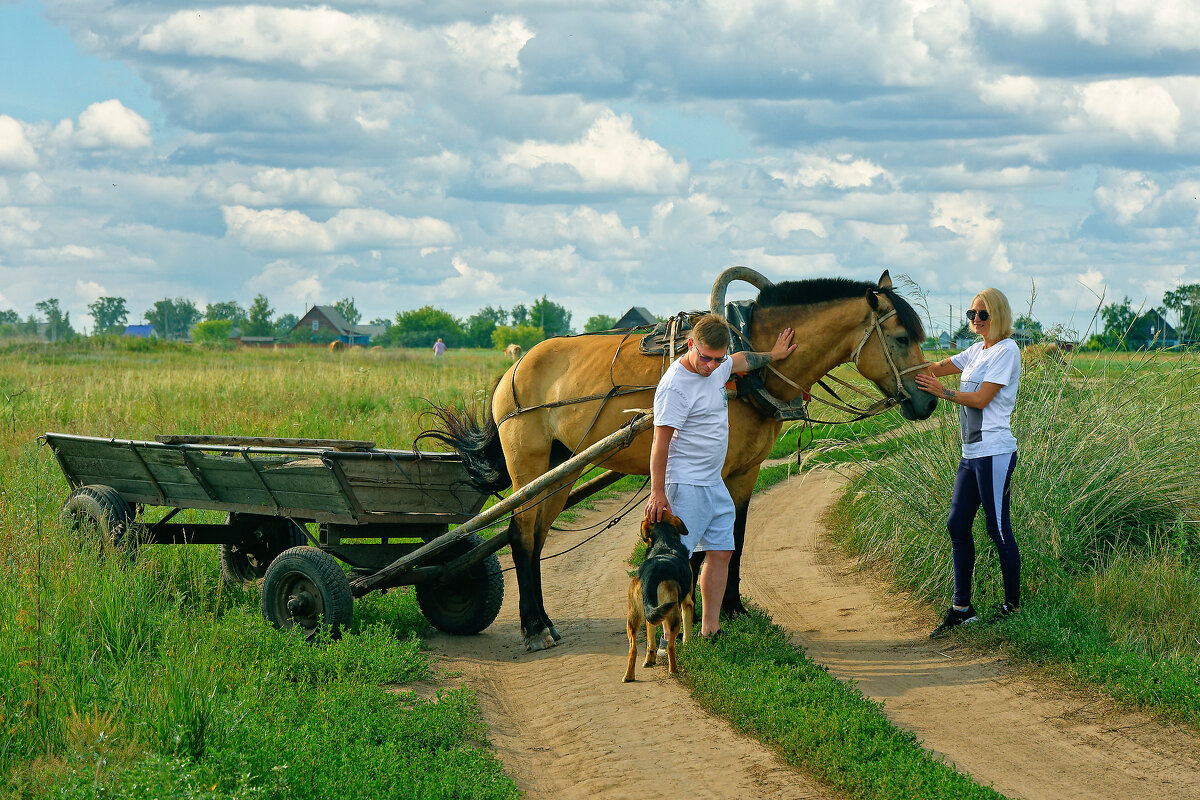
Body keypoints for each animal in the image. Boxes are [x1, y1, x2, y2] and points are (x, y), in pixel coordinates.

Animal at [422, 267, 936, 652]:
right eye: (899, 336)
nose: (928, 401)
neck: (747, 358)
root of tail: (515, 365)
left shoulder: (745, 473)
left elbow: (737, 538)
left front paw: (733, 609)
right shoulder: (711, 472)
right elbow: (704, 545)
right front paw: (697, 616)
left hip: (561, 468)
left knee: (535, 537)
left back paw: (544, 620)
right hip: (529, 465)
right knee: (520, 534)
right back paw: (533, 628)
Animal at [619, 513, 696, 681]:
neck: (664, 541)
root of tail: (650, 575)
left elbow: (650, 642)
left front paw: (650, 660)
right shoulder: (687, 603)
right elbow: (687, 631)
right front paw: (688, 645)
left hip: (633, 616)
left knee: (633, 648)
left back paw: (629, 676)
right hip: (673, 614)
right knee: (671, 645)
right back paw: (673, 670)